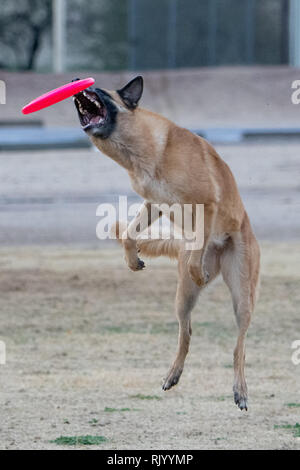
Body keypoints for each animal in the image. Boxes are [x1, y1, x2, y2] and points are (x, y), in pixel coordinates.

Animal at [73, 75, 260, 410]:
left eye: (98, 90)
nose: (74, 82)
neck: (146, 151)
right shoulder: (153, 204)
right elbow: (130, 233)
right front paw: (132, 259)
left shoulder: (206, 205)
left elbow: (199, 240)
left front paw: (198, 270)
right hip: (183, 298)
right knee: (186, 332)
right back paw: (173, 374)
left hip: (242, 296)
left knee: (239, 346)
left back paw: (240, 390)